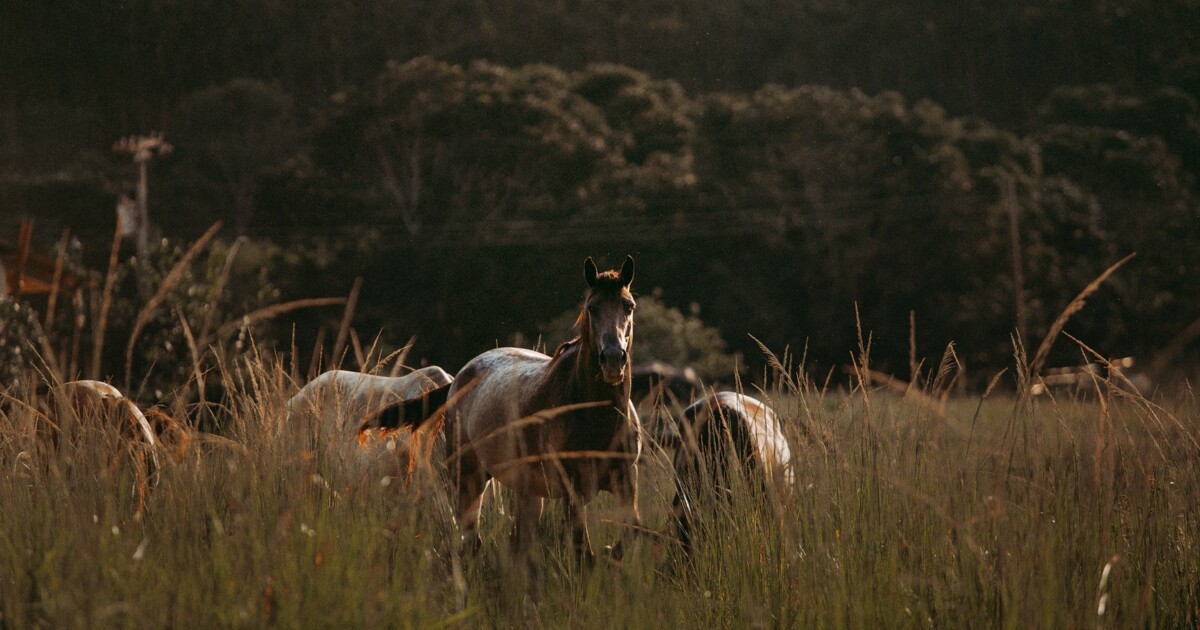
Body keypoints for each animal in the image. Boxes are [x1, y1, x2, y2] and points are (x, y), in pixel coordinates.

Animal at [417, 255, 643, 559]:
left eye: (628, 306)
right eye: (592, 308)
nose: (613, 360)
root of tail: (459, 377)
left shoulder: (626, 479)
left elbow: (631, 533)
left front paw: (610, 553)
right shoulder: (572, 489)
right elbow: (583, 552)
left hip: (528, 492)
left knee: (516, 543)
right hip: (470, 478)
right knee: (471, 541)